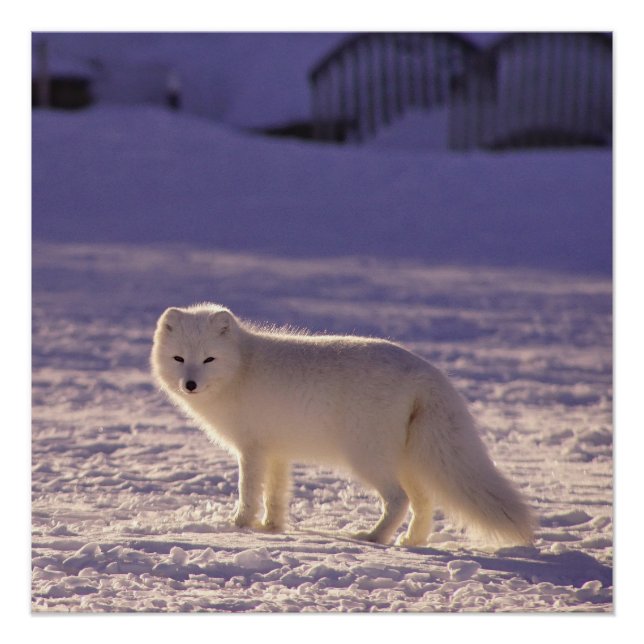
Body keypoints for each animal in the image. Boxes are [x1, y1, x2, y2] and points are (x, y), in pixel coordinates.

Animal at [150, 303, 535, 547]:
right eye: (179, 359)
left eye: (209, 359)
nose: (190, 384)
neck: (242, 367)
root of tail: (427, 372)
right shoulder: (277, 452)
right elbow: (276, 494)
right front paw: (272, 527)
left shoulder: (252, 449)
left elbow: (248, 491)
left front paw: (239, 525)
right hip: (407, 460)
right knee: (424, 502)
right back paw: (411, 541)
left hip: (367, 458)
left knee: (399, 500)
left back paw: (374, 537)